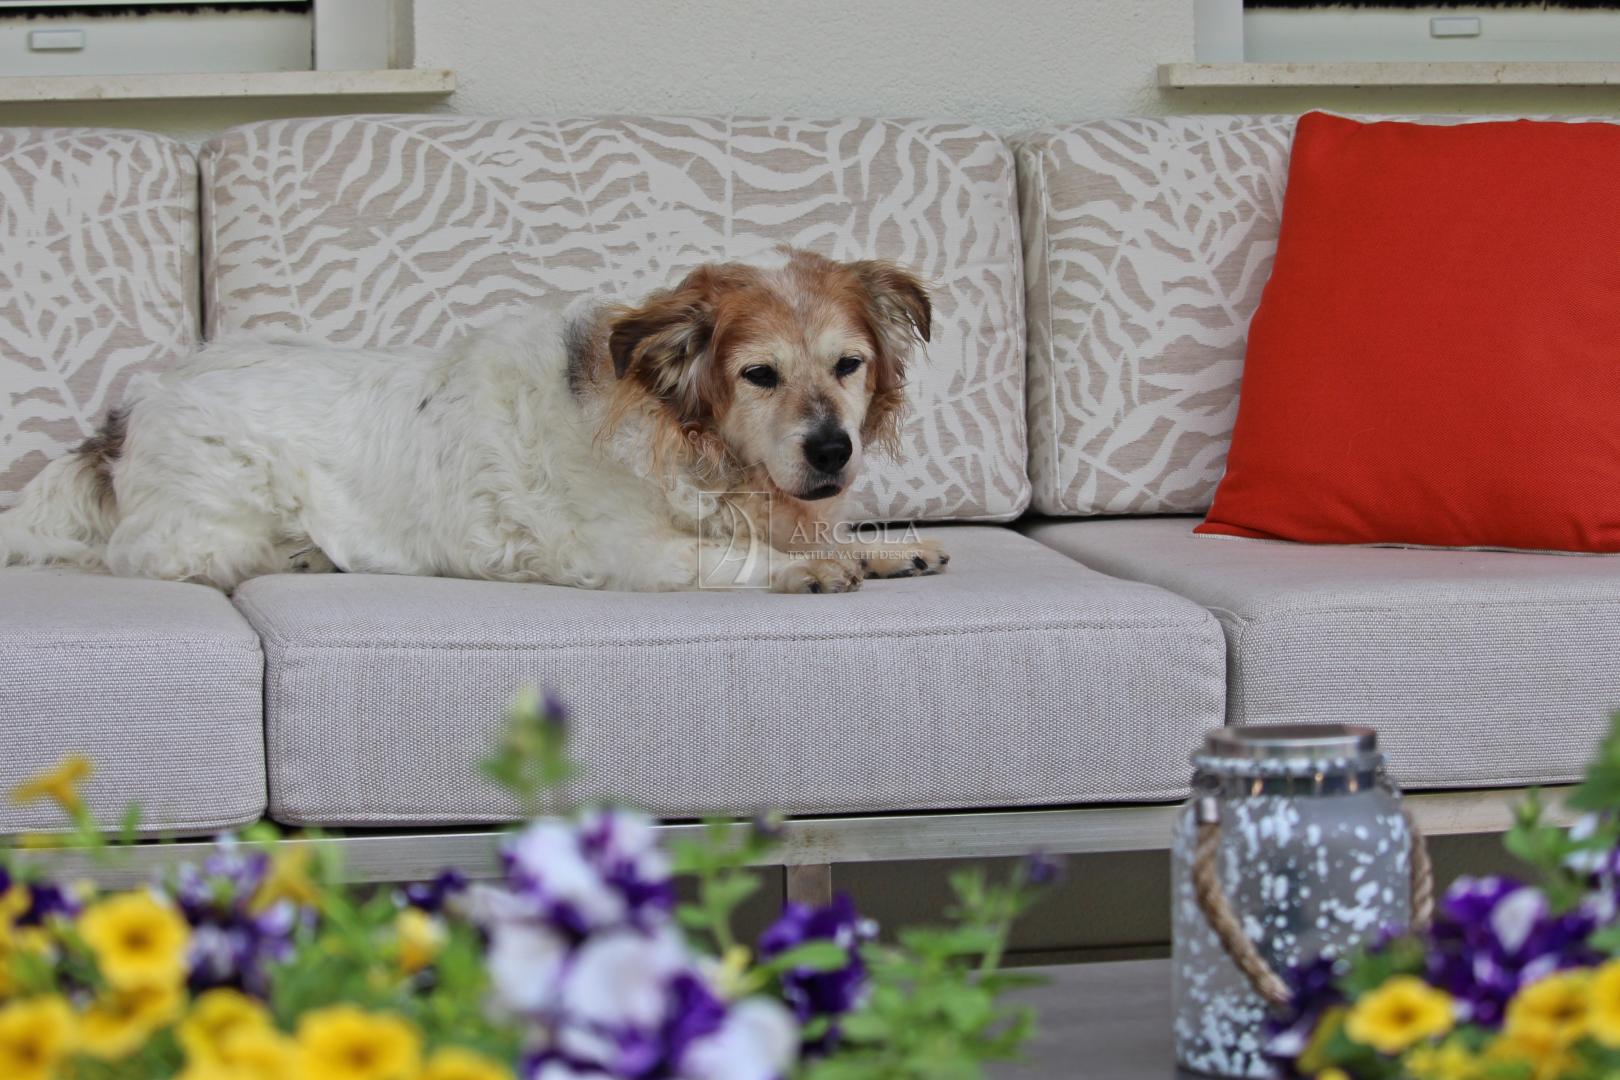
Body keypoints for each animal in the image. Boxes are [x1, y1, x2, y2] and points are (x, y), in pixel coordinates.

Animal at [0, 248, 947, 594]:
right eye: (759, 375)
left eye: (848, 365)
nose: (833, 449)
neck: (686, 443)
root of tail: (129, 412)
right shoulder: (620, 551)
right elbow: (731, 555)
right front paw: (806, 569)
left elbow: (810, 530)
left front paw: (884, 547)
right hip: (209, 530)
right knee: (153, 558)